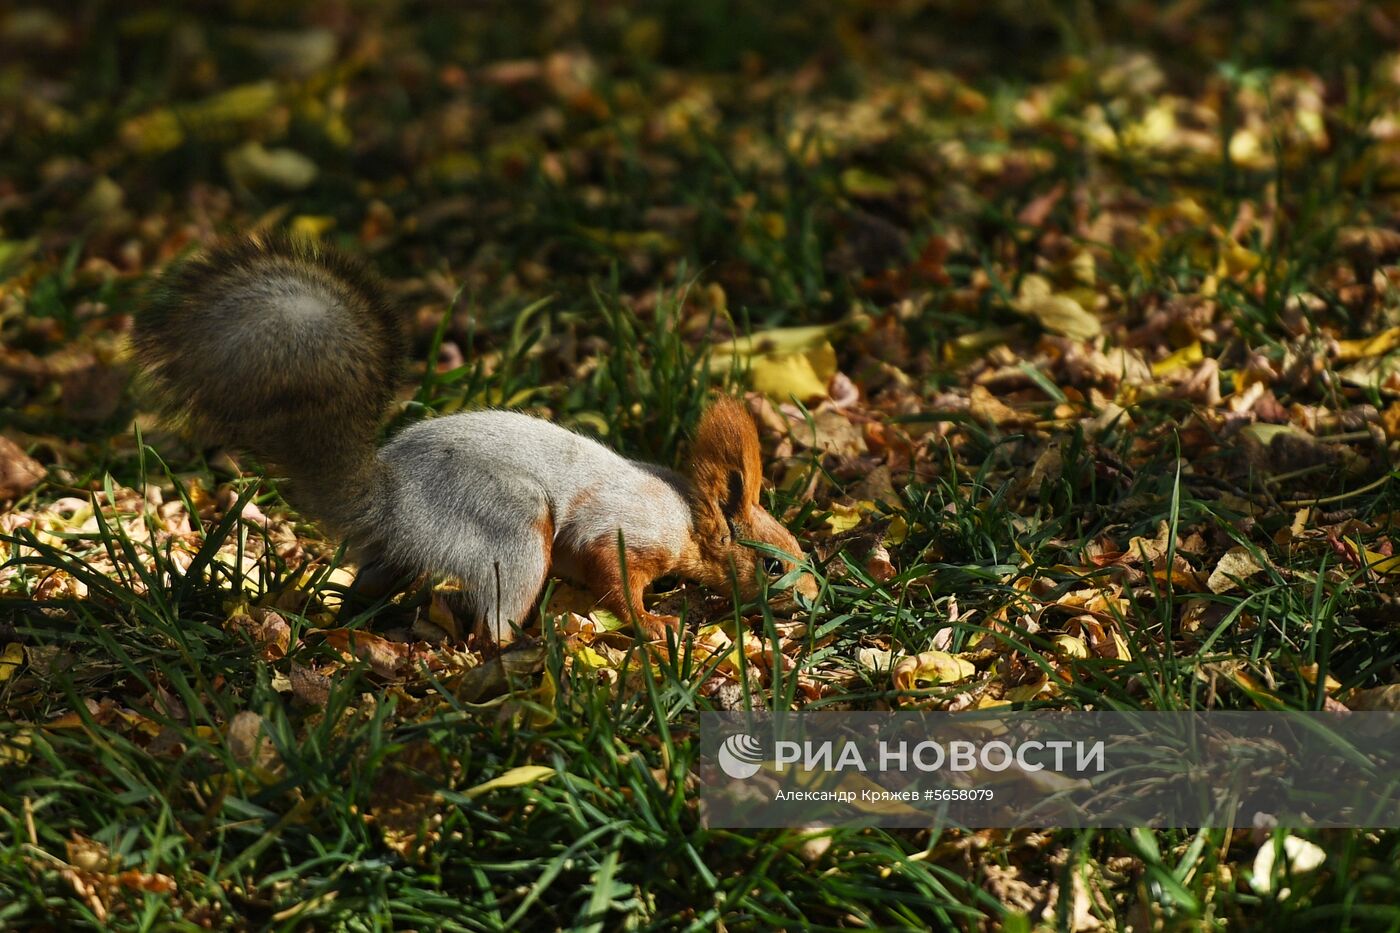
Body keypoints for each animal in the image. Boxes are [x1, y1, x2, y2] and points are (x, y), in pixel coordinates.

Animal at [135, 232, 817, 638]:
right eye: (772, 561)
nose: (814, 597)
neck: (686, 514)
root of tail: (390, 501)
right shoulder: (623, 530)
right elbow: (613, 576)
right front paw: (652, 626)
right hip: (510, 526)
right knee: (494, 620)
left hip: (397, 556)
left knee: (370, 590)